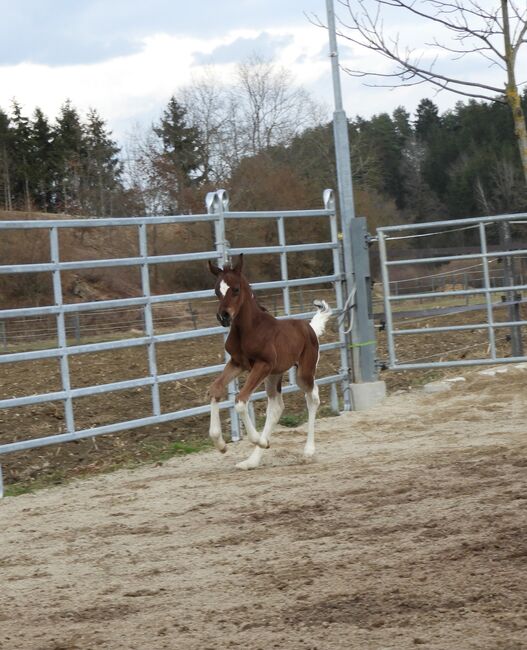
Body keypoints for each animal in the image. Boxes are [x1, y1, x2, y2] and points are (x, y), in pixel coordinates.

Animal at [208, 251, 332, 468]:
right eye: (217, 291)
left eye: (236, 289)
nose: (223, 316)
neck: (249, 329)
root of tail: (310, 327)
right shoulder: (238, 363)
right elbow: (215, 389)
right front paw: (221, 444)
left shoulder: (262, 365)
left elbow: (240, 401)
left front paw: (256, 439)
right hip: (274, 374)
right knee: (276, 407)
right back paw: (251, 460)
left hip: (303, 372)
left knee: (313, 397)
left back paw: (308, 451)